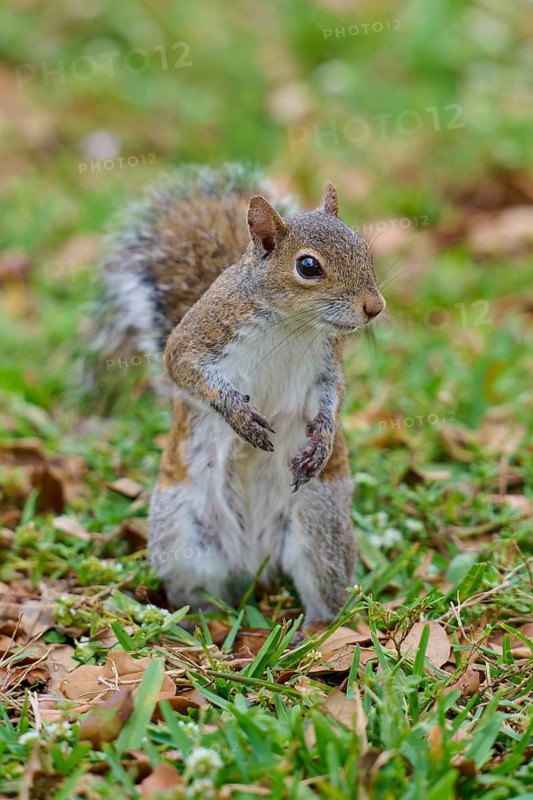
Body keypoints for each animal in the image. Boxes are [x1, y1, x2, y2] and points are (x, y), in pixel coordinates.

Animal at [97, 163, 385, 625]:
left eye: (362, 248)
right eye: (308, 266)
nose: (375, 307)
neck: (292, 323)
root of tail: (254, 560)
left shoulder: (327, 363)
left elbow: (331, 396)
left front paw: (322, 440)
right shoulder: (200, 336)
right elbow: (181, 368)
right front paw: (239, 416)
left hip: (321, 524)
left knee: (320, 582)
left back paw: (315, 627)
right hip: (181, 532)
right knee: (197, 590)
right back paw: (198, 621)